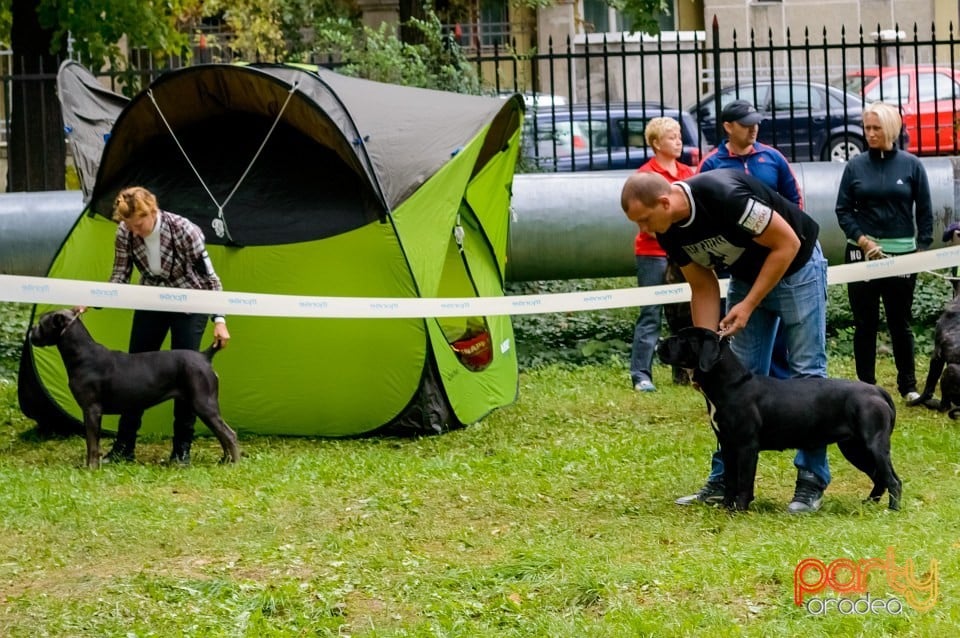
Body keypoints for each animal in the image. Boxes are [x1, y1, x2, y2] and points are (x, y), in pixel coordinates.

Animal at [30, 310, 242, 470]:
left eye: (41, 323)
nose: (31, 331)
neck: (82, 354)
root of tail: (205, 356)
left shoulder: (91, 409)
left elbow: (92, 443)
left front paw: (91, 467)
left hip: (204, 403)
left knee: (229, 434)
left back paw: (234, 464)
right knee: (221, 434)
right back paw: (224, 461)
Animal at [656, 328, 904, 512]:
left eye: (681, 339)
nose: (659, 342)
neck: (730, 384)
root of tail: (877, 390)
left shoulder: (746, 447)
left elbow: (744, 481)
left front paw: (739, 510)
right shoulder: (727, 445)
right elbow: (731, 480)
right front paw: (726, 507)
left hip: (873, 445)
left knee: (893, 480)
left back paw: (891, 510)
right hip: (854, 448)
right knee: (880, 477)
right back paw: (868, 504)